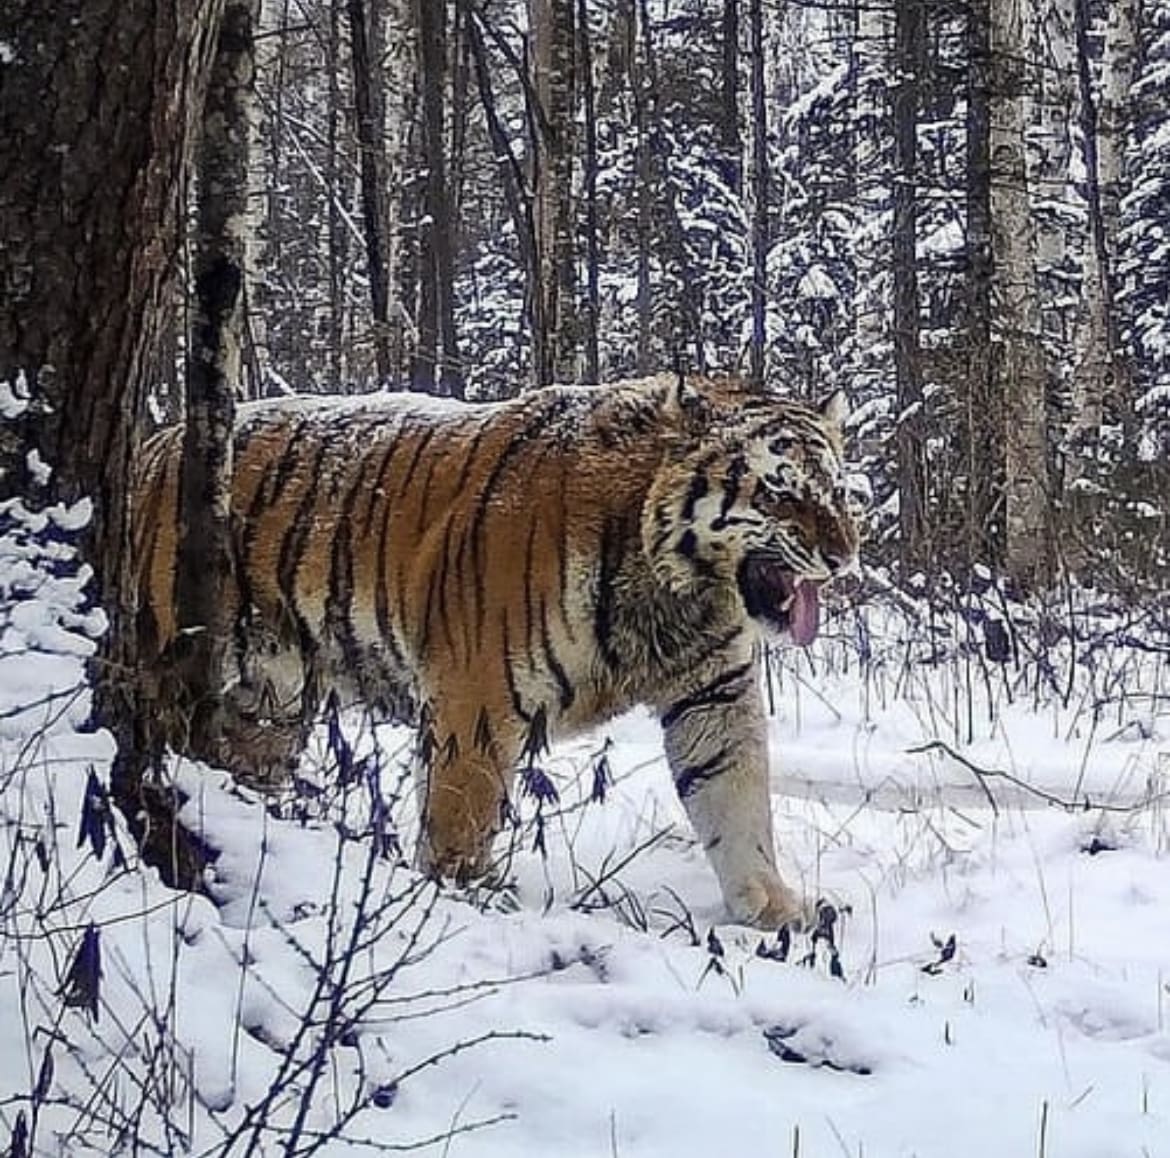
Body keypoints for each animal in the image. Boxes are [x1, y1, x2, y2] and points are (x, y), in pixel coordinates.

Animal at [134, 376, 861, 931]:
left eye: (836, 489)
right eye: (778, 491)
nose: (844, 557)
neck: (677, 589)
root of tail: (157, 441)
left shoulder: (714, 691)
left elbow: (736, 797)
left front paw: (772, 906)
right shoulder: (478, 696)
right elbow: (464, 810)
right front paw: (465, 894)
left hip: (272, 702)